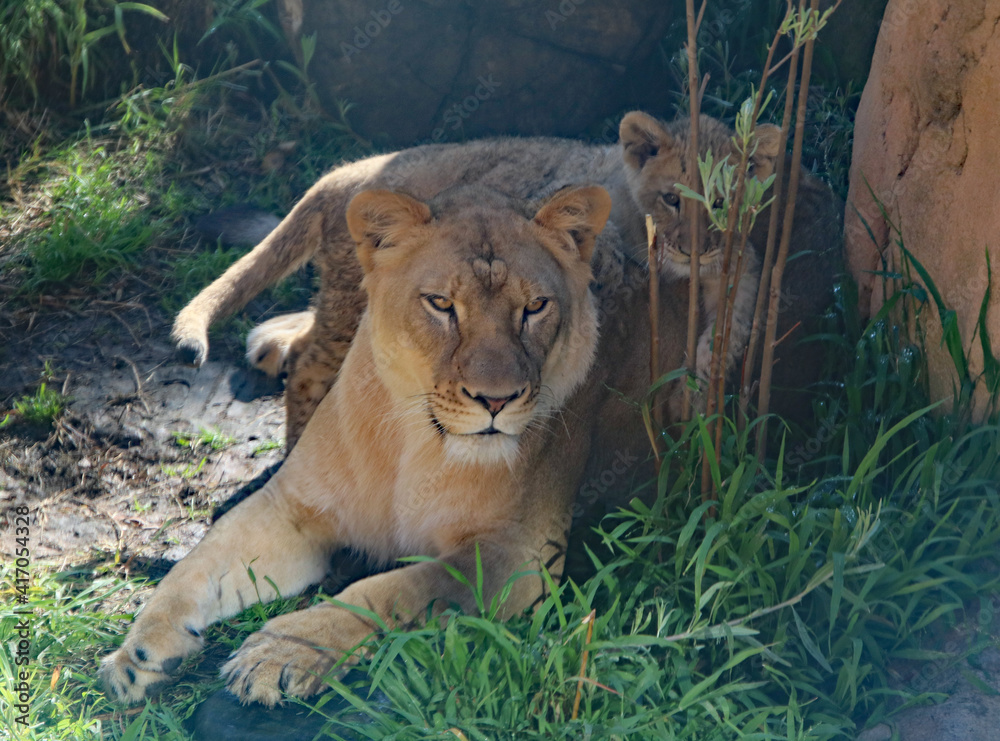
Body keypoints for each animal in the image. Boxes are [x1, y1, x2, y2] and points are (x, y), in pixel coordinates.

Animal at [101, 183, 626, 706]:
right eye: (440, 303)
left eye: (535, 307)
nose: (496, 399)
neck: (417, 443)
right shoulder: (290, 508)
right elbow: (195, 565)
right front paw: (139, 651)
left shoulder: (519, 556)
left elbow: (394, 589)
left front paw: (281, 652)